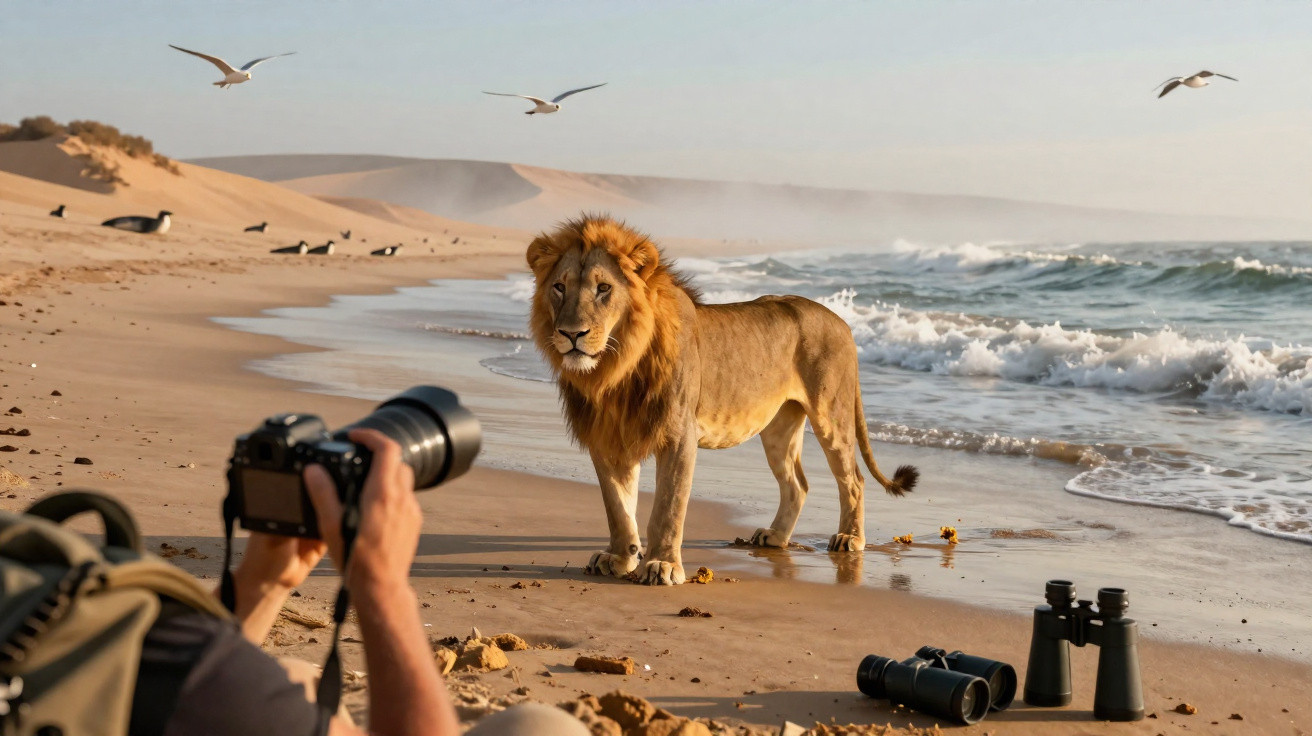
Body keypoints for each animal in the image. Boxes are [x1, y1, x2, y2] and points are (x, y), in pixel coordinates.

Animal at [527, 215, 918, 585]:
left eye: (604, 288)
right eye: (559, 287)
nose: (571, 334)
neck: (614, 370)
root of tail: (843, 323)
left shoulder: (678, 434)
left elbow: (668, 506)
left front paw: (662, 565)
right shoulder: (607, 436)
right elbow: (617, 506)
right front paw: (620, 557)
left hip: (831, 415)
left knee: (854, 479)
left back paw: (850, 538)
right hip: (778, 428)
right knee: (797, 484)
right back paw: (776, 536)